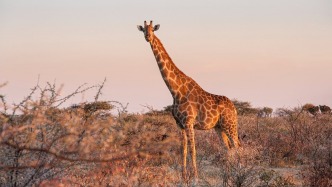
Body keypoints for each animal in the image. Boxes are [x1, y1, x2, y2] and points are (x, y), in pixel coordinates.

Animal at [136, 20, 240, 183]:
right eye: (143, 30)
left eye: (153, 29)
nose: (148, 37)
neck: (176, 91)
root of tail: (234, 108)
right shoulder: (180, 124)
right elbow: (183, 150)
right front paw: (184, 176)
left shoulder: (189, 122)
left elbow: (193, 150)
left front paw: (195, 177)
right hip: (219, 127)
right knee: (227, 148)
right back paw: (227, 175)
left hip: (230, 125)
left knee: (237, 147)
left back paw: (238, 172)